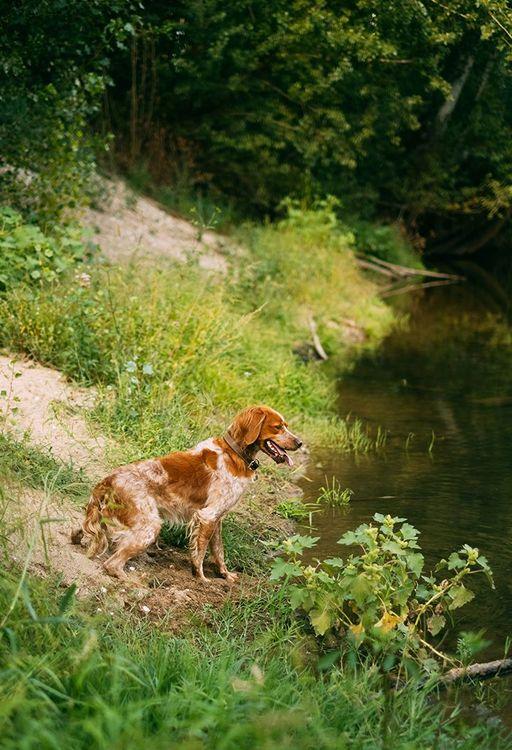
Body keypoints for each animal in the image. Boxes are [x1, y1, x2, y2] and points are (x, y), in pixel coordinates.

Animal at [74, 408, 302, 584]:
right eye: (278, 427)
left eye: (285, 425)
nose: (300, 443)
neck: (234, 453)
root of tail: (108, 480)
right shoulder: (208, 516)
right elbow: (199, 554)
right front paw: (201, 579)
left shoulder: (217, 519)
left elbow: (219, 551)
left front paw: (225, 575)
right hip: (150, 527)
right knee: (111, 564)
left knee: (82, 530)